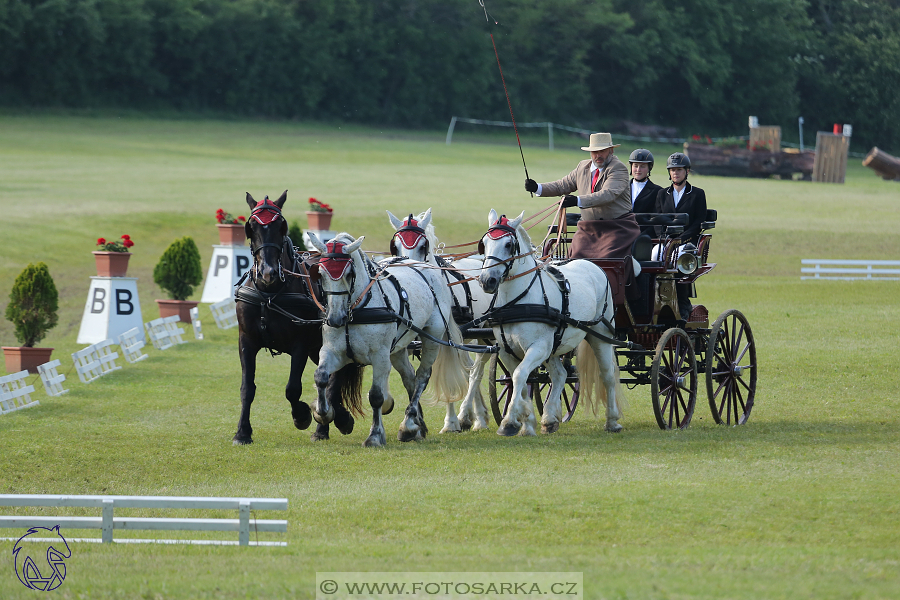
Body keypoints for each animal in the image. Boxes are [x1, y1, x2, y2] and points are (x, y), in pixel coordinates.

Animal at [234, 190, 364, 442]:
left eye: (281, 226)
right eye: (251, 226)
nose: (268, 273)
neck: (270, 294)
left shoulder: (300, 345)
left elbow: (293, 388)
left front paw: (302, 415)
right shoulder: (246, 340)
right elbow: (247, 388)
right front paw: (242, 432)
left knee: (335, 380)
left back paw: (331, 423)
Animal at [308, 232, 468, 448]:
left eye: (349, 274)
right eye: (321, 273)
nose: (334, 318)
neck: (356, 310)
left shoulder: (380, 357)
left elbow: (376, 396)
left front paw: (375, 435)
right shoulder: (332, 351)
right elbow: (321, 377)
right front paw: (323, 413)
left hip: (432, 337)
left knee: (422, 377)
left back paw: (408, 425)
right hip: (398, 347)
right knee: (410, 378)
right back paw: (417, 425)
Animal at [384, 209, 488, 434]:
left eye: (423, 246)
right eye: (395, 245)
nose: (407, 267)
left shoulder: (442, 338)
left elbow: (448, 376)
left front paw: (452, 421)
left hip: (486, 335)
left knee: (477, 370)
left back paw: (474, 417)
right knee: (469, 367)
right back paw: (477, 415)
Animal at [478, 211, 624, 436]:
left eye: (508, 245)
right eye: (484, 244)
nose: (487, 280)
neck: (517, 301)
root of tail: (593, 265)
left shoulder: (538, 347)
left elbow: (520, 375)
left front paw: (509, 422)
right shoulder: (507, 351)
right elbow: (520, 380)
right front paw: (527, 421)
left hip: (600, 335)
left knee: (607, 374)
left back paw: (612, 421)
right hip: (555, 345)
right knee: (560, 375)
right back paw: (549, 419)